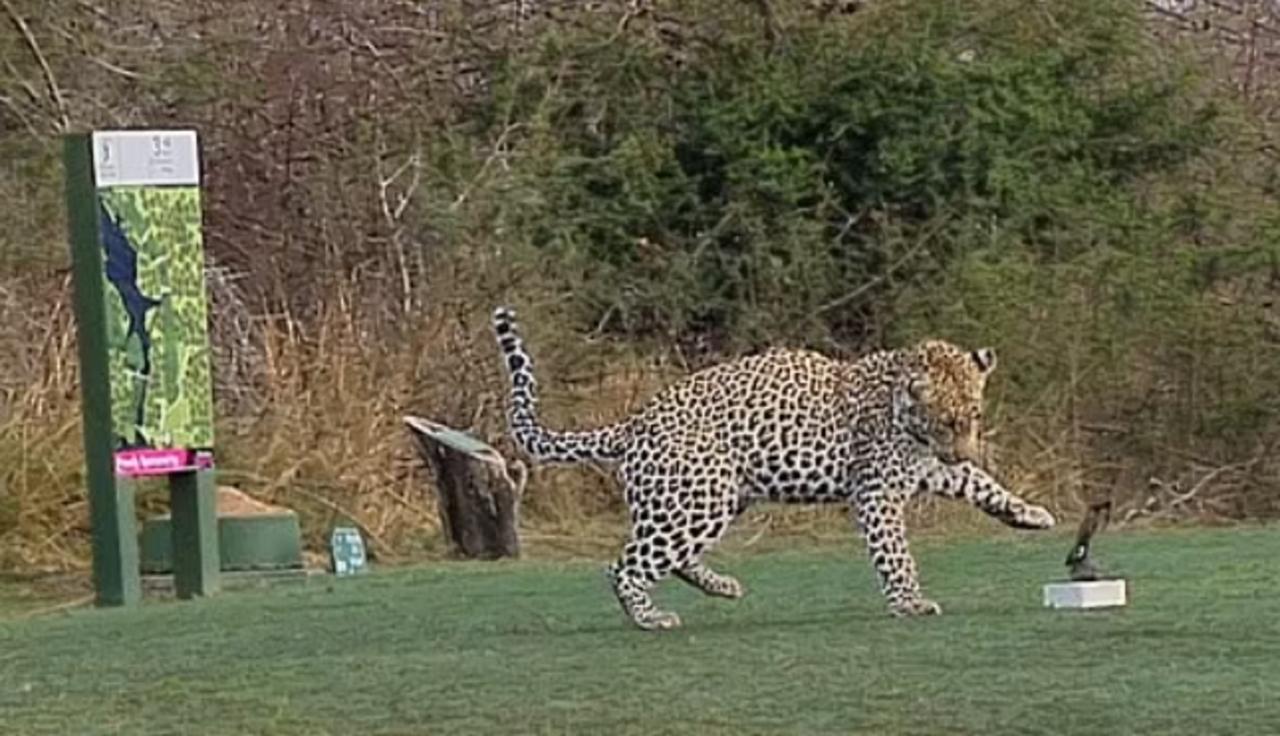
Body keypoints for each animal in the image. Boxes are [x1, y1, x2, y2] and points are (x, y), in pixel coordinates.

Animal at [486, 308, 1049, 629]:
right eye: (947, 420)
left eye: (974, 416)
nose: (966, 448)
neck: (903, 408)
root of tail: (632, 424)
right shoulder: (879, 491)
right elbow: (895, 552)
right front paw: (909, 602)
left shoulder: (926, 469)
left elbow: (983, 485)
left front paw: (1029, 515)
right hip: (699, 501)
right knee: (625, 565)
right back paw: (651, 617)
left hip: (708, 499)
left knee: (666, 556)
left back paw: (721, 586)